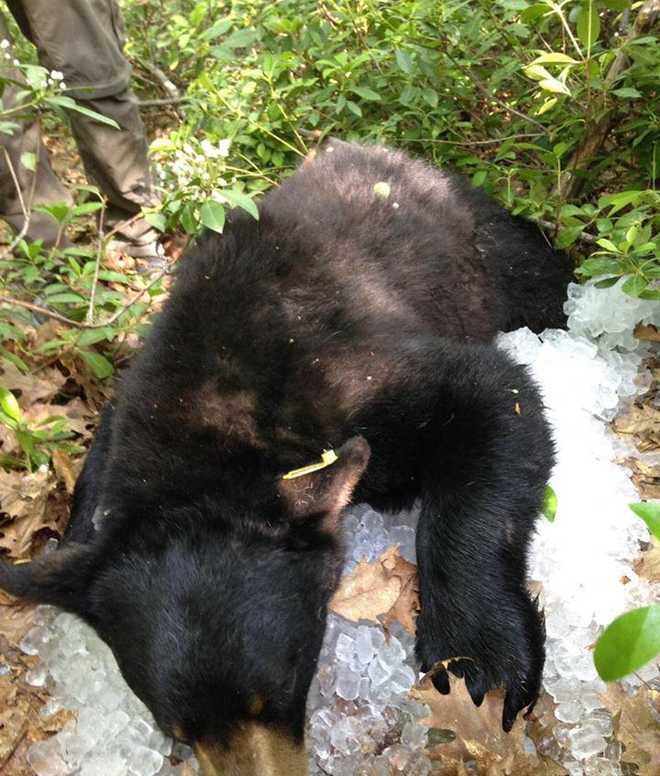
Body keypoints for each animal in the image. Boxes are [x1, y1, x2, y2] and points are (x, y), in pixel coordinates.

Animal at [1, 141, 572, 776]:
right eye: (178, 729)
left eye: (276, 692)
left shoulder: (346, 375)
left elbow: (493, 395)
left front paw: (479, 662)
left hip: (487, 245)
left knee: (538, 279)